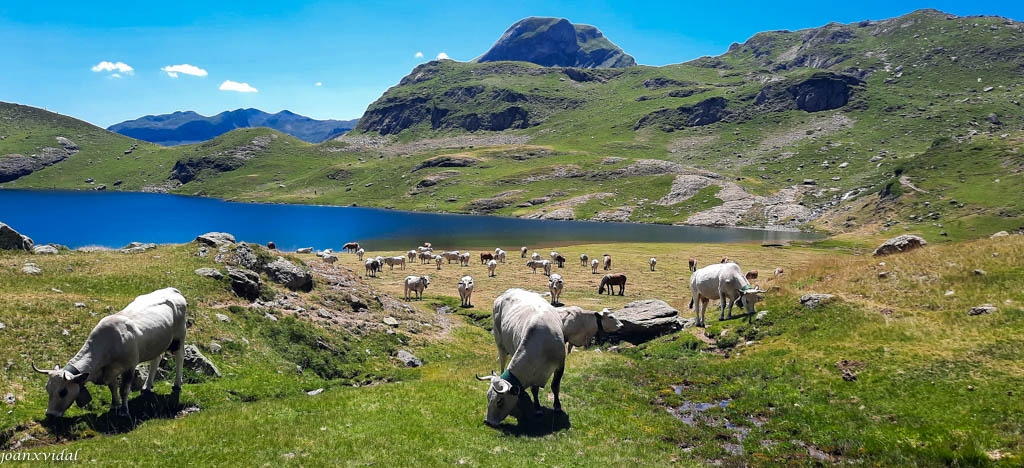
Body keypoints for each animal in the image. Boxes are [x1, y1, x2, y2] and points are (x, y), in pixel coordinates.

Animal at [34, 286, 188, 417]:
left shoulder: (129, 366)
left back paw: (177, 384)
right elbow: (112, 387)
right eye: (48, 388)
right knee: (156, 359)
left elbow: (124, 389)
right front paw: (114, 405)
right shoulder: (108, 370)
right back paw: (147, 386)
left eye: (63, 392)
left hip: (179, 337)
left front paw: (124, 411)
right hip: (157, 344)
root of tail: (172, 290)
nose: (50, 414)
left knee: (179, 358)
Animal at [473, 286, 565, 426]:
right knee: (502, 363)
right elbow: (535, 390)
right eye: (488, 397)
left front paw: (557, 406)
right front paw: (537, 408)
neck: (542, 343)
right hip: (500, 343)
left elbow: (555, 386)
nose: (487, 421)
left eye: (499, 402)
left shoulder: (560, 363)